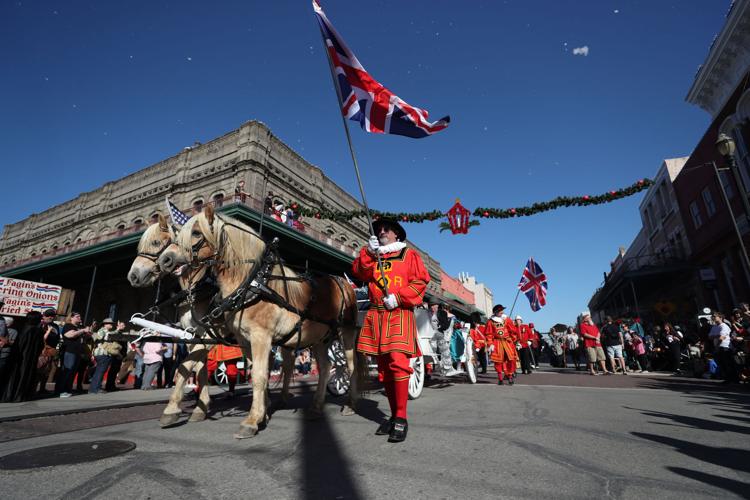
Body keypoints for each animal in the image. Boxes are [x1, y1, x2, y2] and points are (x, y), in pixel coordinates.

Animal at [163, 205, 366, 440]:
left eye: (196, 233)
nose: (165, 260)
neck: (253, 284)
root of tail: (343, 282)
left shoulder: (261, 336)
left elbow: (259, 376)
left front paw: (251, 421)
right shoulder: (243, 339)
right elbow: (257, 373)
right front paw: (263, 414)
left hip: (346, 332)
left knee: (351, 365)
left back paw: (350, 404)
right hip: (319, 339)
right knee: (325, 367)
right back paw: (316, 406)